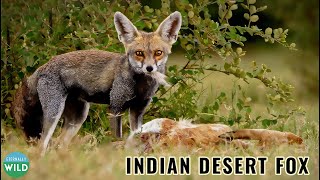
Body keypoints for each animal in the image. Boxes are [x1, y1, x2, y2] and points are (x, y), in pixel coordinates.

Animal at [11, 11, 182, 155]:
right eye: (139, 53)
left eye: (158, 53)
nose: (149, 68)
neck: (140, 87)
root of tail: (42, 67)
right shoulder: (115, 107)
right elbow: (117, 136)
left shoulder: (137, 111)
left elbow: (136, 134)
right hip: (54, 113)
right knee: (43, 145)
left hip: (78, 118)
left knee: (59, 144)